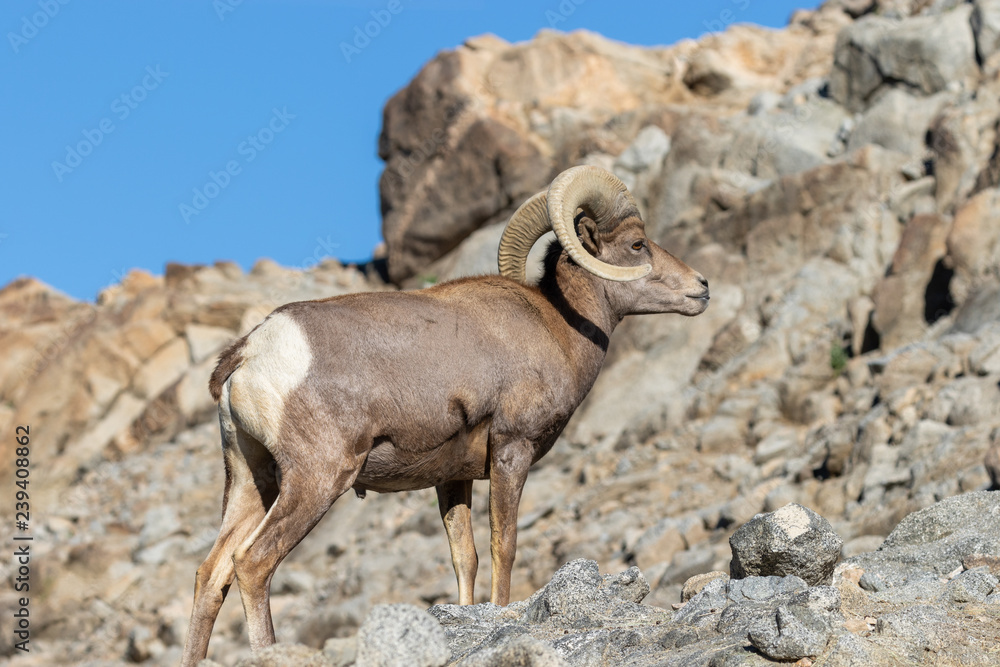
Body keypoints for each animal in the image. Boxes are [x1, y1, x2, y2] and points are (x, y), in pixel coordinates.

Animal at [180, 165, 709, 664]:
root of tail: (251, 352)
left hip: (251, 481)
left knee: (211, 573)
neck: (556, 325)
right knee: (253, 563)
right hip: (317, 479)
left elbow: (465, 557)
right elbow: (503, 545)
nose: (701, 287)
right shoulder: (511, 451)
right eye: (638, 244)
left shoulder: (452, 478)